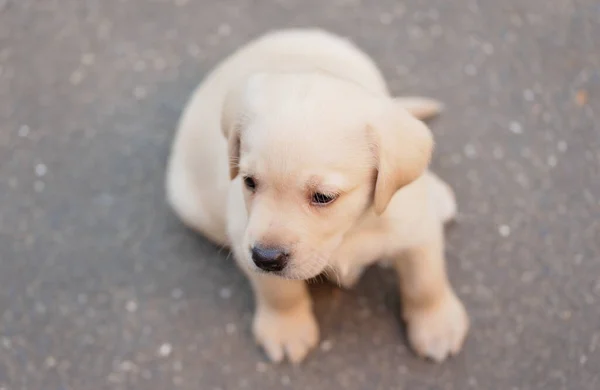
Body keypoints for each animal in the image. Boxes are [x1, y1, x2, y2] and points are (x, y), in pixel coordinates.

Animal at [165, 29, 468, 364]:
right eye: (249, 182)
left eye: (323, 197)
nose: (266, 257)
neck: (351, 229)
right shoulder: (244, 235)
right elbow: (279, 291)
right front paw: (286, 328)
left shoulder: (416, 228)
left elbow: (426, 280)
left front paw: (437, 325)